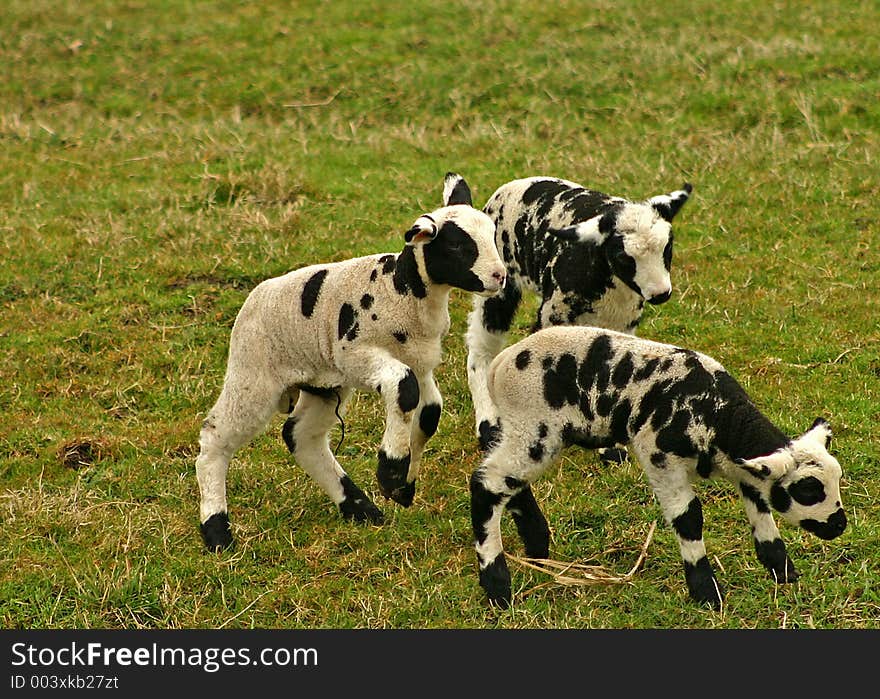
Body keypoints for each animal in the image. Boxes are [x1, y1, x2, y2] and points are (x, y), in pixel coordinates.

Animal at [196, 174, 506, 552]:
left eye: (492, 234)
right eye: (459, 247)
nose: (499, 276)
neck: (401, 289)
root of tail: (252, 300)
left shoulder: (420, 361)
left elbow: (428, 410)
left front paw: (403, 486)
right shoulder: (357, 354)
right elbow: (405, 389)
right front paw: (391, 472)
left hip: (323, 384)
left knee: (302, 437)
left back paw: (359, 508)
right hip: (254, 373)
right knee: (216, 437)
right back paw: (216, 530)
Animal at [460, 174, 696, 454]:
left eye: (667, 247)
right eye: (623, 256)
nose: (661, 293)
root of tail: (514, 184)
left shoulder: (623, 323)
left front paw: (612, 446)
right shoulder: (553, 315)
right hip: (496, 285)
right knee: (482, 346)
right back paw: (488, 424)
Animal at [470, 326, 848, 608]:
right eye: (808, 489)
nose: (839, 525)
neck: (720, 419)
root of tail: (500, 365)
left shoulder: (746, 468)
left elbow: (759, 506)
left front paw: (782, 570)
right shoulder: (659, 457)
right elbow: (689, 517)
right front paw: (706, 592)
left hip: (525, 432)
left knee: (510, 483)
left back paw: (537, 547)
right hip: (534, 427)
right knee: (486, 484)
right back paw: (497, 586)